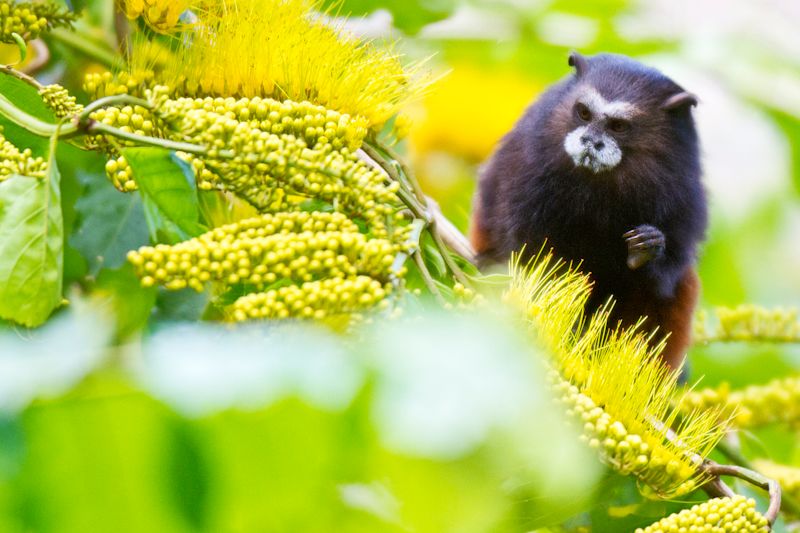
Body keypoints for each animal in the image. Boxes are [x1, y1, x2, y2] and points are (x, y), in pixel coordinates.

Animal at [472, 54, 708, 370]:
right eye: (584, 113)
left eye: (618, 126)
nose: (589, 142)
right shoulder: (527, 164)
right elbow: (532, 253)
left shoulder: (684, 194)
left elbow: (667, 276)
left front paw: (647, 248)